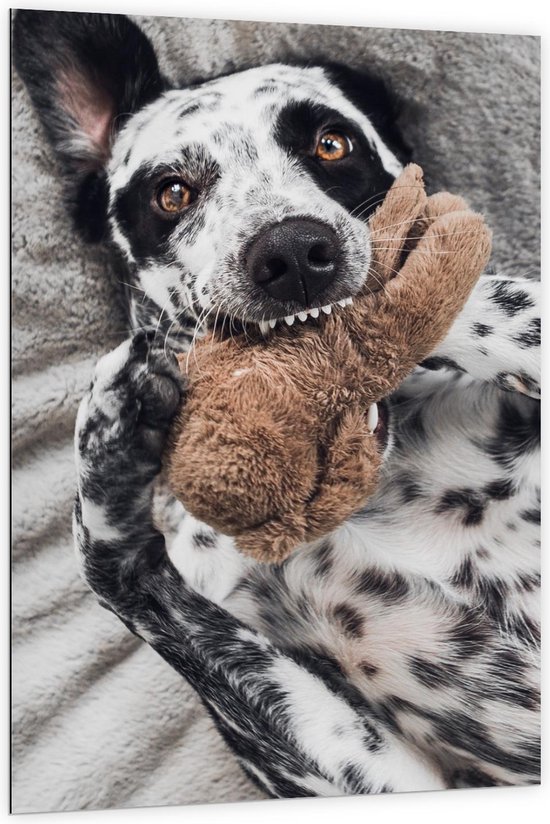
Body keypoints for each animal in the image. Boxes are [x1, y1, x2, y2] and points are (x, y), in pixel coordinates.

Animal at [14, 11, 544, 800]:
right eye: (172, 192)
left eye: (332, 143)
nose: (293, 252)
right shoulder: (377, 779)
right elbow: (116, 567)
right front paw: (108, 441)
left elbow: (499, 300)